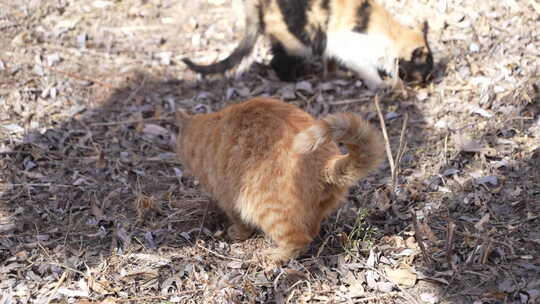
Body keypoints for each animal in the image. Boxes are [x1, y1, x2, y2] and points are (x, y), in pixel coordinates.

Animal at [174, 98, 384, 264]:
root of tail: (326, 162)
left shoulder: (228, 197)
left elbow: (239, 221)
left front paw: (237, 233)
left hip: (266, 207)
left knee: (299, 240)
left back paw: (275, 256)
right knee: (312, 230)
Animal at [184, 0, 432, 91]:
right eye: (422, 72)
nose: (426, 83)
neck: (391, 33)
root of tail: (258, 6)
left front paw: (333, 73)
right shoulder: (345, 45)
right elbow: (367, 69)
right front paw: (383, 84)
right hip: (299, 41)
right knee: (278, 62)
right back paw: (295, 80)